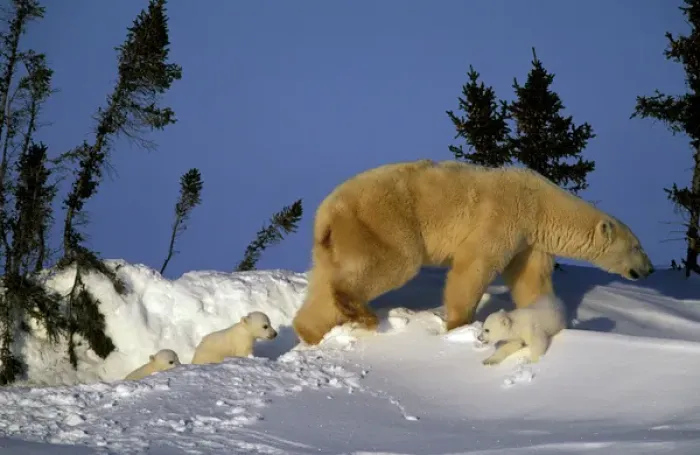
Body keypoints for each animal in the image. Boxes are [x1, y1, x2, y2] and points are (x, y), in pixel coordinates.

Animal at [292, 159, 654, 346]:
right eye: (637, 246)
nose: (649, 268)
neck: (541, 206)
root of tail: (325, 213)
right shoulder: (504, 216)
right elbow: (475, 265)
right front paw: (459, 326)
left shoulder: (529, 240)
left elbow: (531, 280)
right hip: (381, 221)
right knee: (393, 263)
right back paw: (361, 313)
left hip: (336, 242)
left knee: (323, 283)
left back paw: (310, 331)